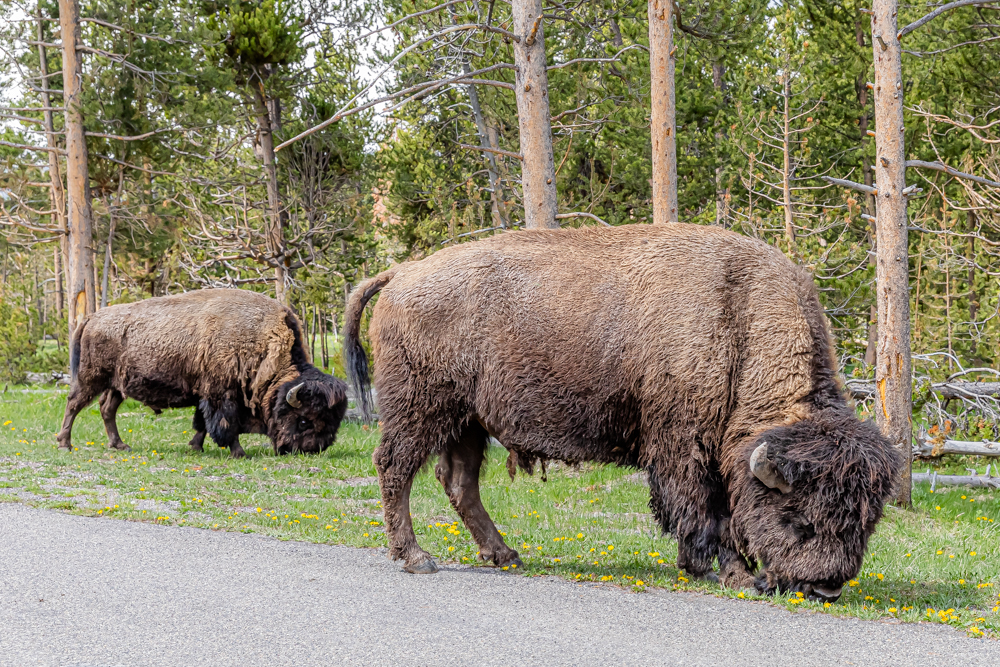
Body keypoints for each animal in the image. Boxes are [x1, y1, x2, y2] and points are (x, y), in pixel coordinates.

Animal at [58, 290, 350, 460]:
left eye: (333, 423)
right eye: (304, 420)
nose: (311, 450)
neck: (265, 344)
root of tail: (91, 318)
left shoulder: (205, 394)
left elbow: (201, 423)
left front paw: (195, 447)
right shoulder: (222, 395)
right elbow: (226, 425)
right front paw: (239, 453)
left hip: (117, 385)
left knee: (107, 409)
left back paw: (119, 445)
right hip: (91, 378)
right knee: (74, 404)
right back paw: (65, 444)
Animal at [344, 220, 900, 600]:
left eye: (866, 522)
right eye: (797, 517)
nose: (826, 588)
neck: (740, 325)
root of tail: (402, 272)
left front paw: (699, 566)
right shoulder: (685, 448)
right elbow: (709, 512)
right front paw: (735, 574)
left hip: (469, 422)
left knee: (459, 482)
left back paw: (504, 554)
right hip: (421, 410)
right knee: (395, 468)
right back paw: (416, 558)